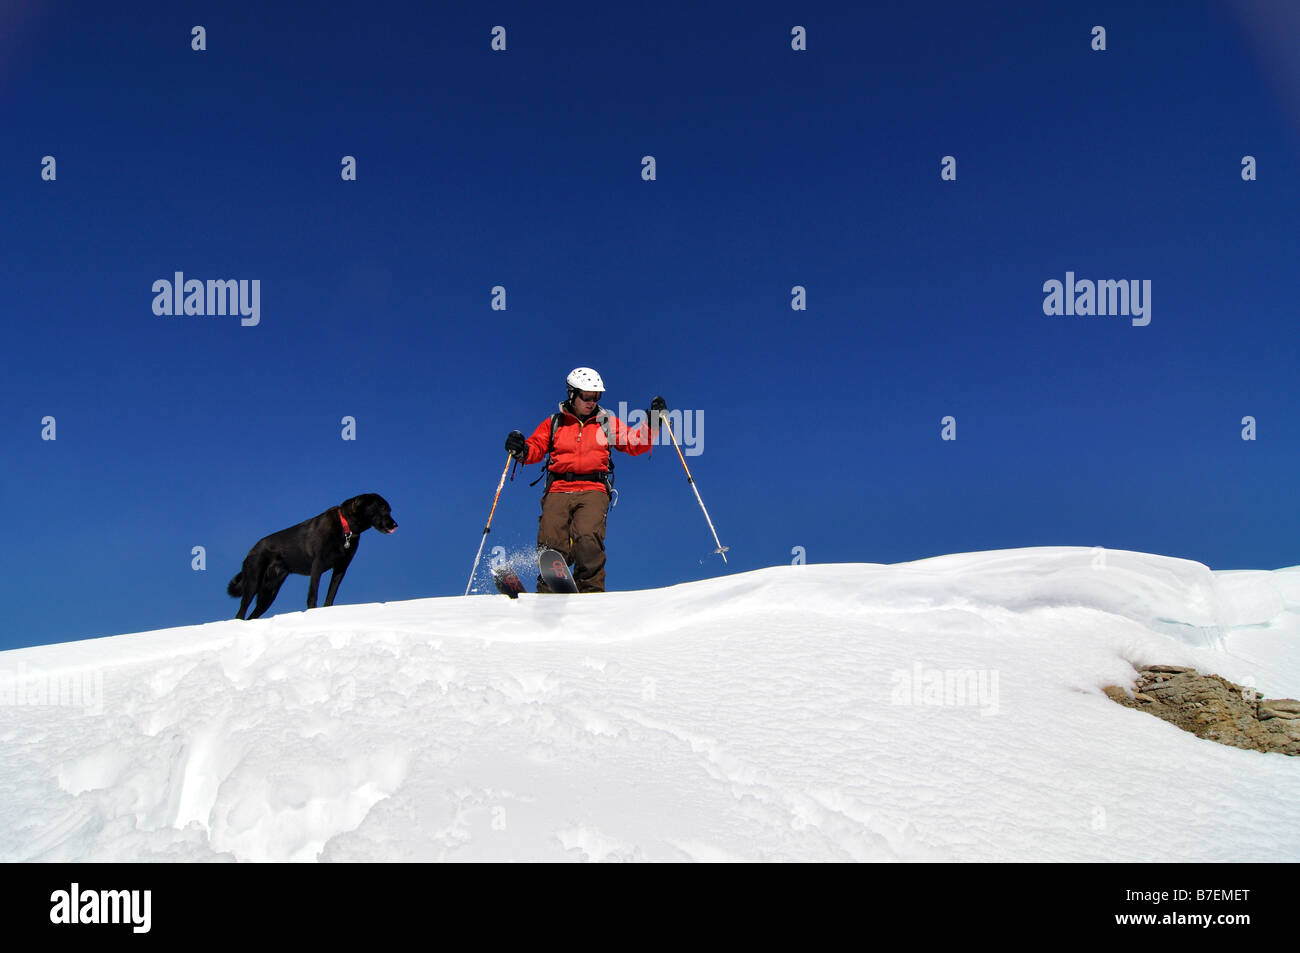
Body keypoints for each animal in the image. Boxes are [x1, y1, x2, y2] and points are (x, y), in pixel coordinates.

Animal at [226, 494, 395, 621]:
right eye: (382, 508)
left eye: (389, 510)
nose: (395, 525)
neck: (346, 527)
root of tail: (251, 550)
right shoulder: (317, 566)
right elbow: (313, 596)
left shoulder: (341, 568)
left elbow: (330, 596)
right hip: (253, 583)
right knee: (240, 613)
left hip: (269, 592)